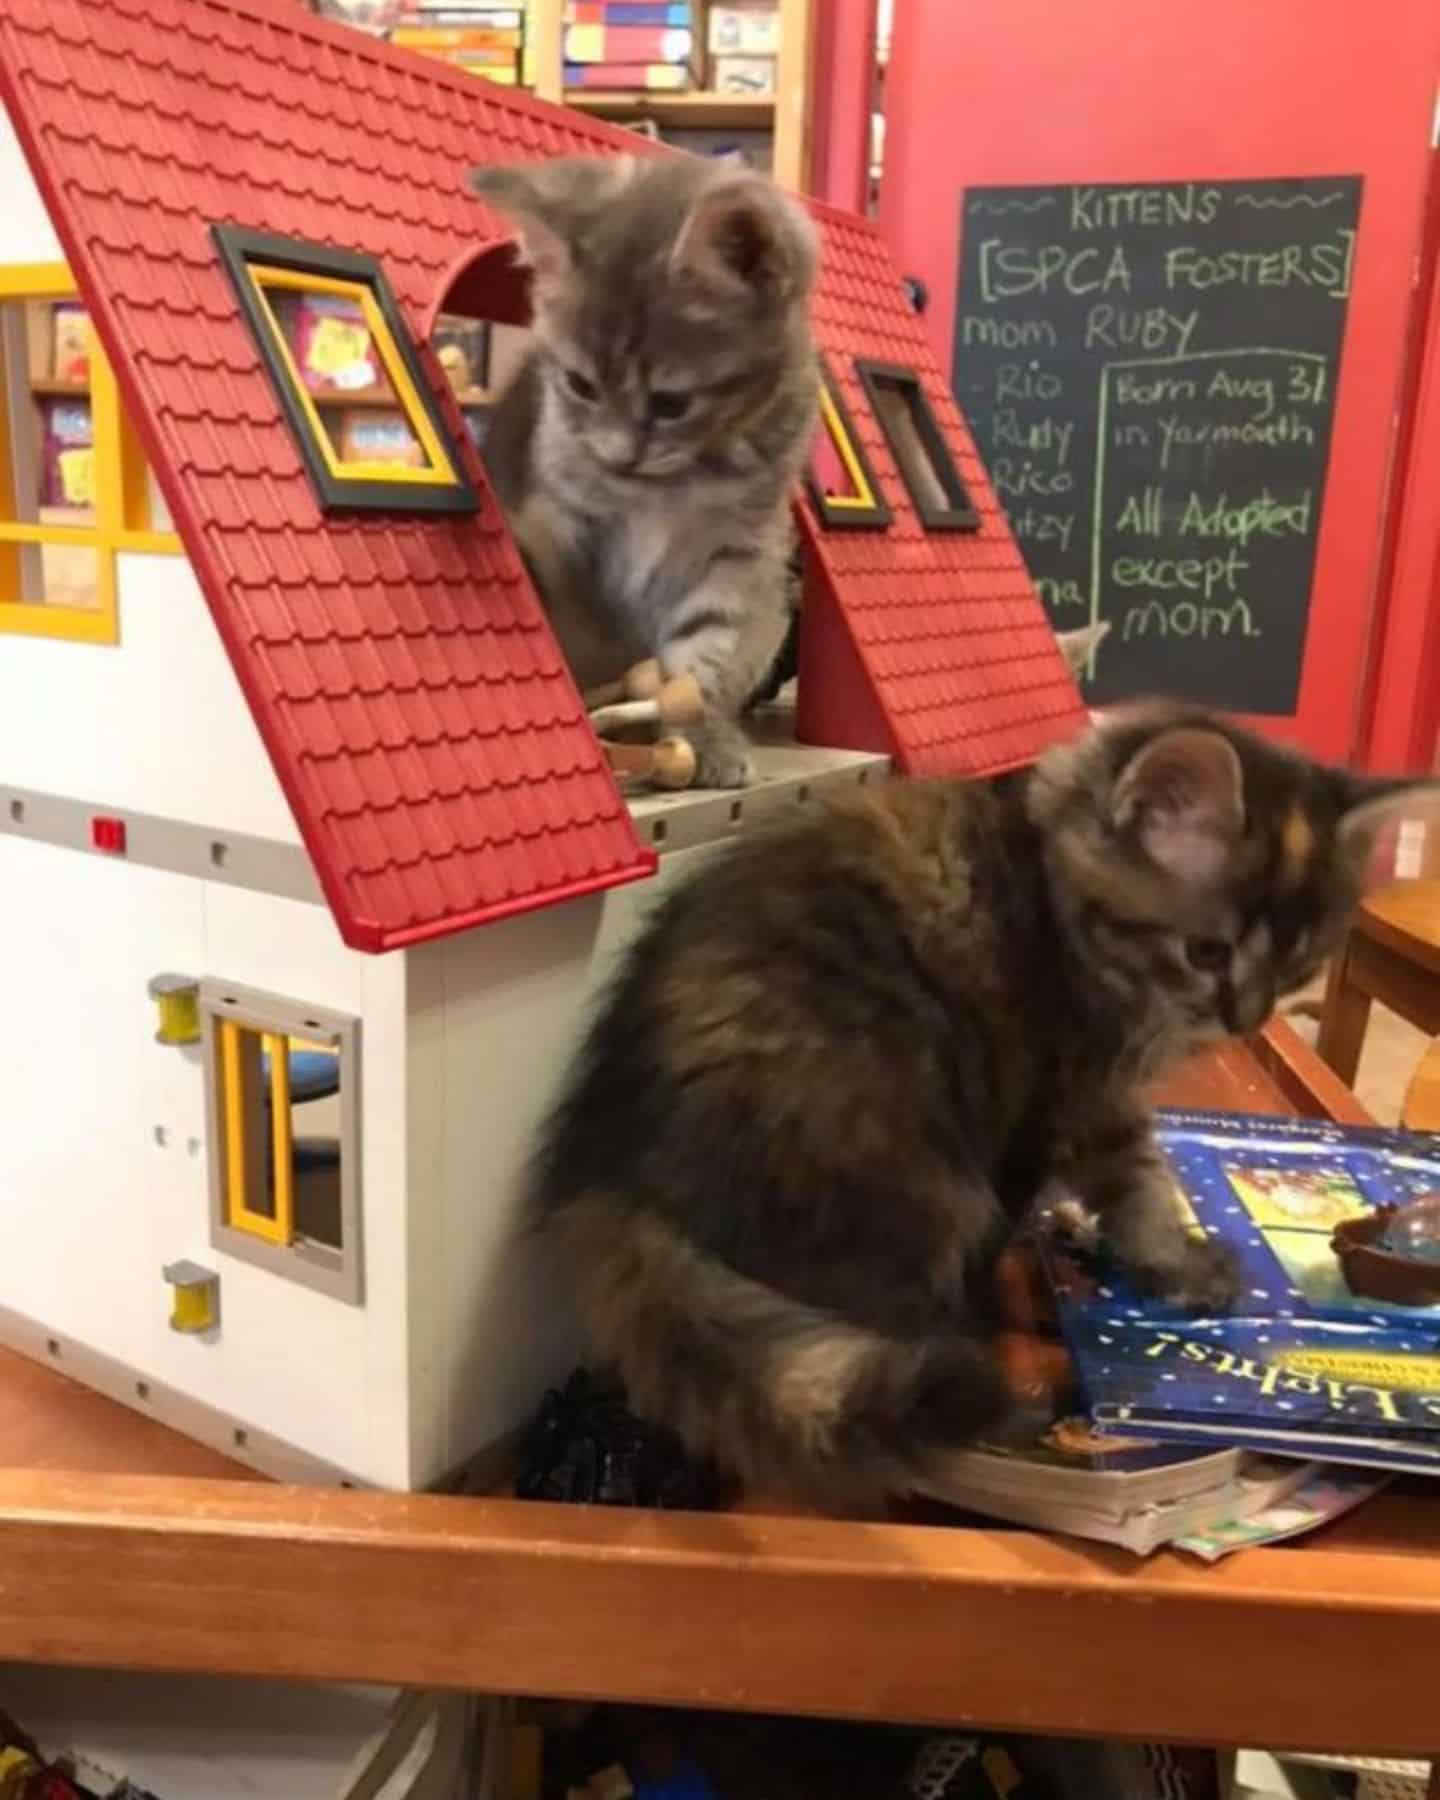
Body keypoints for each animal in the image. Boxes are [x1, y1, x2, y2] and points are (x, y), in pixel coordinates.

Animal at [471, 158, 820, 792]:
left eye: (672, 403)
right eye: (580, 385)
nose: (619, 457)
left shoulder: (734, 551)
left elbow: (700, 655)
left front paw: (696, 738)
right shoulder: (553, 516)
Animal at [532, 702, 1440, 1504]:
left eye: (1298, 967)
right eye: (1206, 952)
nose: (1245, 1020)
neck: (1064, 904)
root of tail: (616, 1172)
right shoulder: (1067, 1093)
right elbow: (1128, 1180)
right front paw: (1167, 1262)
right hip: (901, 1155)